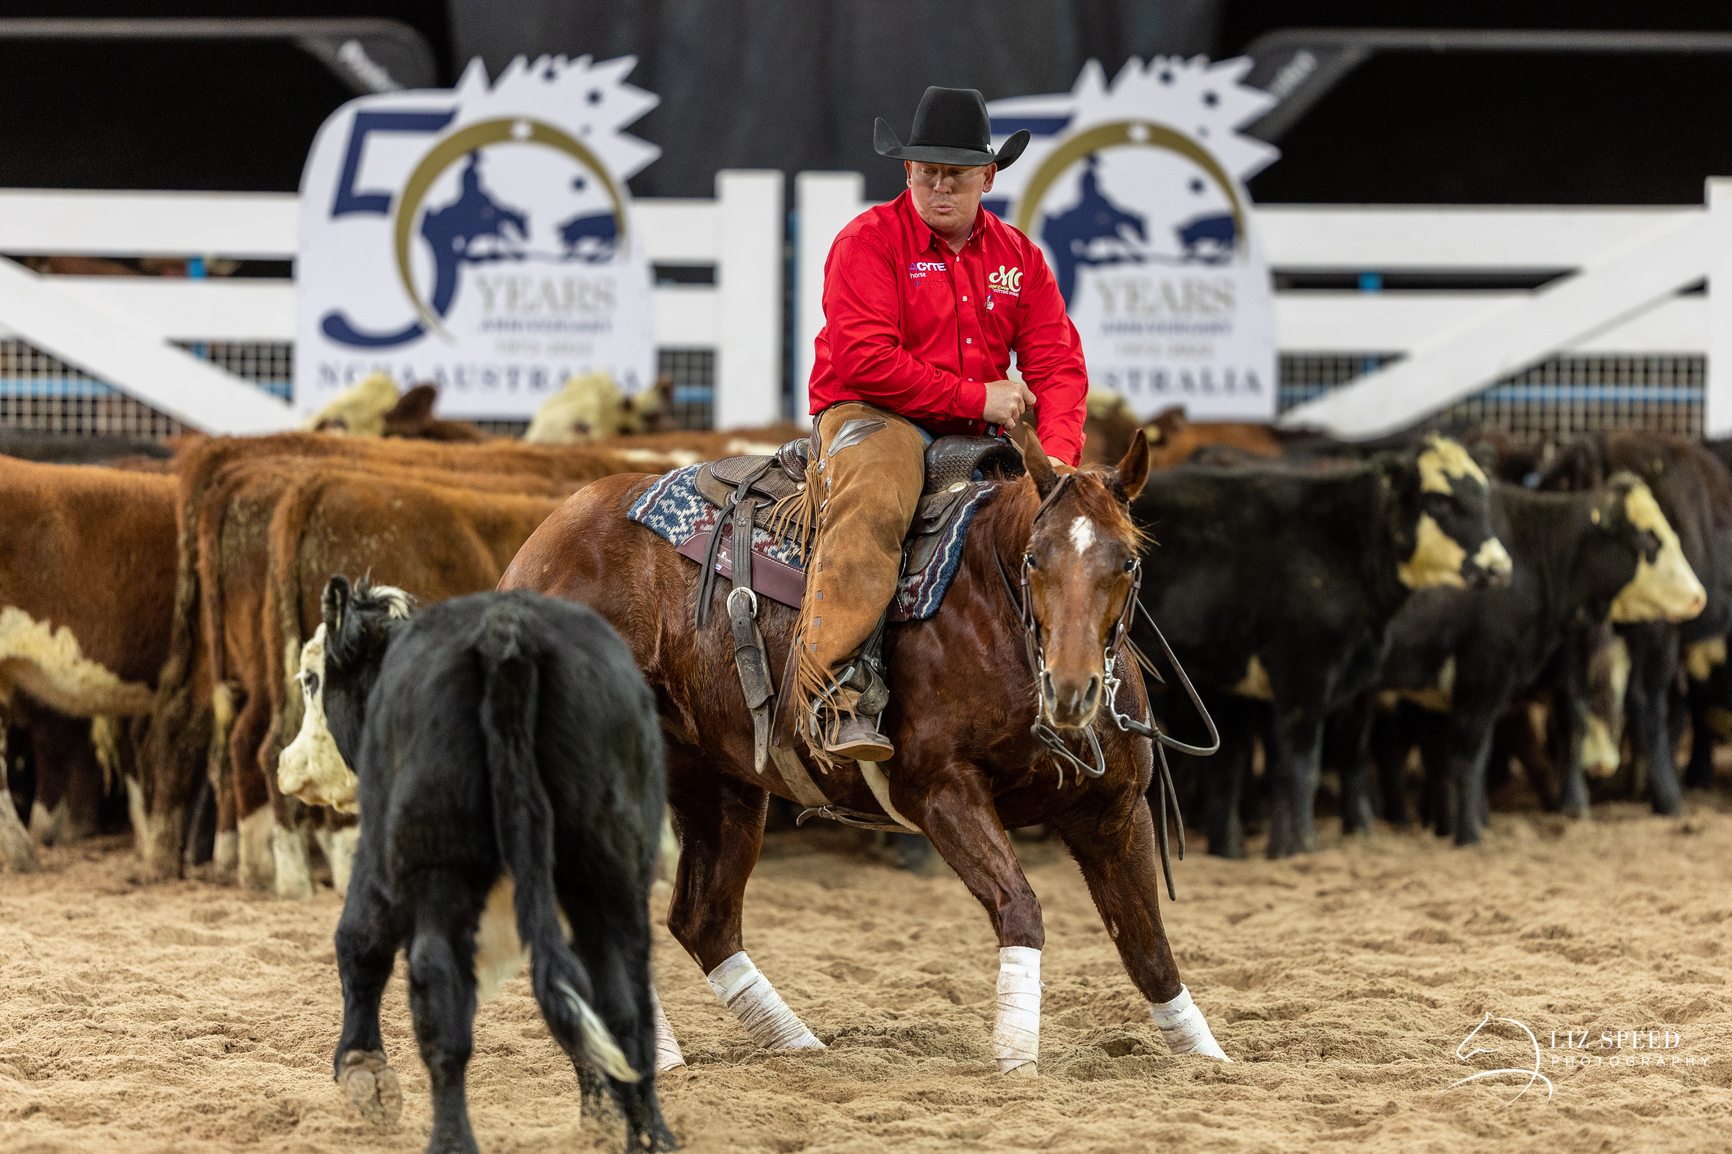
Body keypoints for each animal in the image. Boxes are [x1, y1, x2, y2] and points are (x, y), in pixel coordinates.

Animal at [278, 577, 674, 1153]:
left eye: (311, 679)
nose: (286, 762)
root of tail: (507, 634)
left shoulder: (377, 852)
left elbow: (359, 943)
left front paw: (363, 1070)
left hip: (440, 864)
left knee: (439, 987)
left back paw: (451, 1140)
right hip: (610, 868)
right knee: (624, 1005)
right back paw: (650, 1135)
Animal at [497, 430, 1233, 1073]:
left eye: (1128, 561)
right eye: (1034, 559)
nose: (1074, 689)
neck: (993, 612)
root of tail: (536, 548)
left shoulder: (1115, 811)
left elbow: (1149, 948)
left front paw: (1209, 1059)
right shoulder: (939, 792)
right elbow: (1022, 908)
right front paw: (1017, 1059)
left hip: (716, 780)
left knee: (703, 920)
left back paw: (797, 1045)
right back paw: (653, 1053)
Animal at [1130, 434, 1513, 858]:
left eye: (1482, 494)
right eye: (1439, 501)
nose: (1498, 567)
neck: (1342, 541)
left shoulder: (1233, 686)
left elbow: (1245, 770)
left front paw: (1271, 850)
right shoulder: (1304, 675)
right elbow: (1301, 768)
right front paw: (1305, 847)